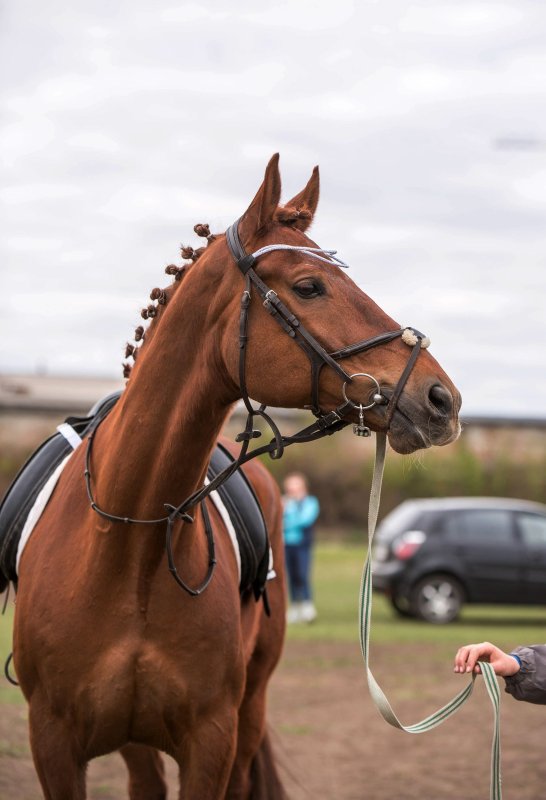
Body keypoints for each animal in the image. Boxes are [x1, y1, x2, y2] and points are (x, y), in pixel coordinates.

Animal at [11, 153, 460, 796]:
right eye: (309, 286)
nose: (441, 399)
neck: (128, 545)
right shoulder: (52, 744)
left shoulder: (213, 740)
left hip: (250, 707)